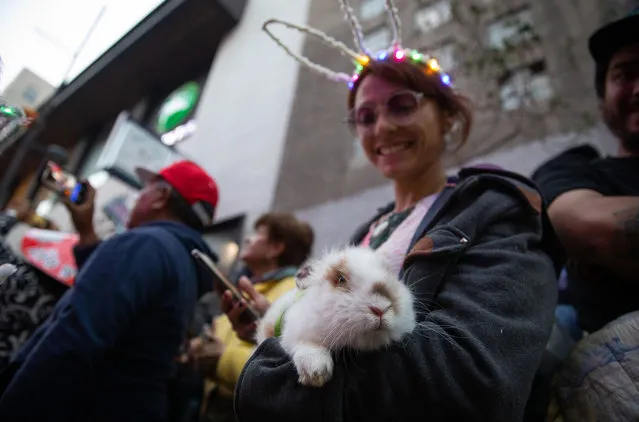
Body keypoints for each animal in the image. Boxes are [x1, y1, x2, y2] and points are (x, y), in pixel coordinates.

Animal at [258, 246, 418, 388]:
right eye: (341, 279)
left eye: (390, 275)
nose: (381, 308)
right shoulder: (295, 334)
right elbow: (308, 347)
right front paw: (316, 373)